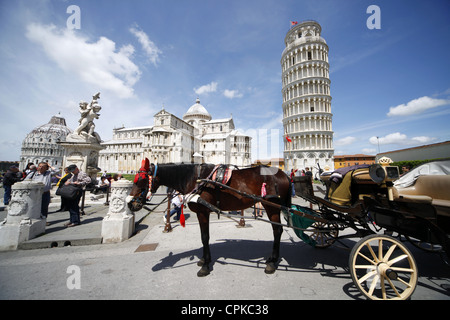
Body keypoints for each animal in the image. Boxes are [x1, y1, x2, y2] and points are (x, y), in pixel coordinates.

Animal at [126, 159, 292, 276]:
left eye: (140, 180)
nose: (130, 203)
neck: (195, 178)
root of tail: (283, 174)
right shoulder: (202, 212)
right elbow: (203, 236)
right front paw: (204, 260)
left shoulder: (202, 211)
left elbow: (205, 237)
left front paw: (205, 266)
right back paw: (271, 259)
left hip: (272, 206)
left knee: (277, 230)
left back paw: (272, 262)